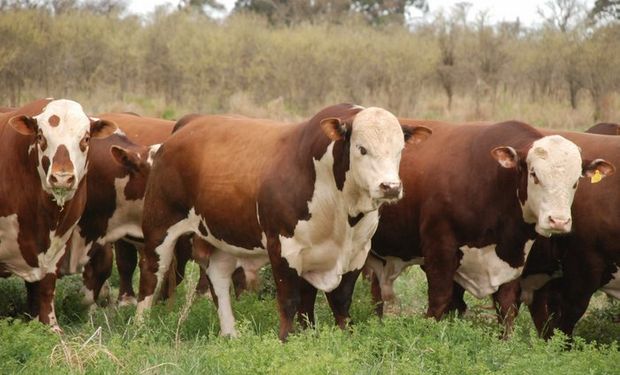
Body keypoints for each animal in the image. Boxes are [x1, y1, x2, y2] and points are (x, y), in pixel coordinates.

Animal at [0, 98, 116, 330]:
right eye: (41, 137)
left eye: (85, 138)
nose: (62, 178)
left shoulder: (57, 243)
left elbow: (45, 288)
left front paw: (50, 326)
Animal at [134, 103, 432, 340]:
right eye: (362, 149)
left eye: (400, 150)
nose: (390, 187)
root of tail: (188, 125)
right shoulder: (283, 248)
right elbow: (290, 300)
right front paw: (287, 339)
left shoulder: (354, 254)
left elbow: (337, 301)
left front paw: (339, 336)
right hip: (160, 226)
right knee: (151, 274)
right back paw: (140, 329)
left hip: (223, 235)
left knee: (218, 276)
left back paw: (230, 334)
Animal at [360, 119, 612, 334]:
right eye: (534, 174)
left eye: (576, 181)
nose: (558, 221)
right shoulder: (439, 250)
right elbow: (439, 302)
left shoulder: (513, 259)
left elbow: (507, 309)